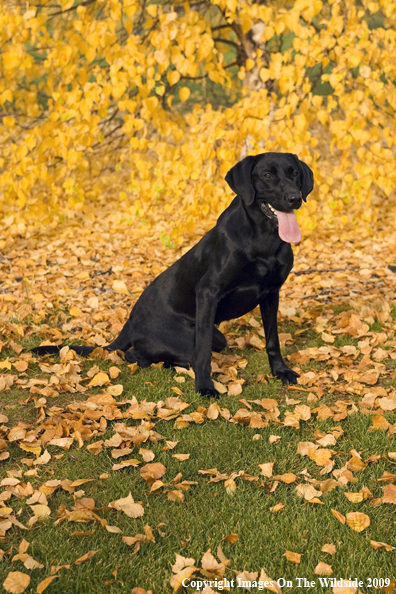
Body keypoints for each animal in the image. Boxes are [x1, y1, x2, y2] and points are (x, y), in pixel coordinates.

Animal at [32, 151, 314, 398]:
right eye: (267, 175)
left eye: (295, 173)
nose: (295, 198)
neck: (264, 238)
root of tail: (130, 321)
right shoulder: (208, 293)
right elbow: (202, 352)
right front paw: (205, 387)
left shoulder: (271, 293)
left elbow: (272, 340)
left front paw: (280, 371)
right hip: (190, 337)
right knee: (138, 355)